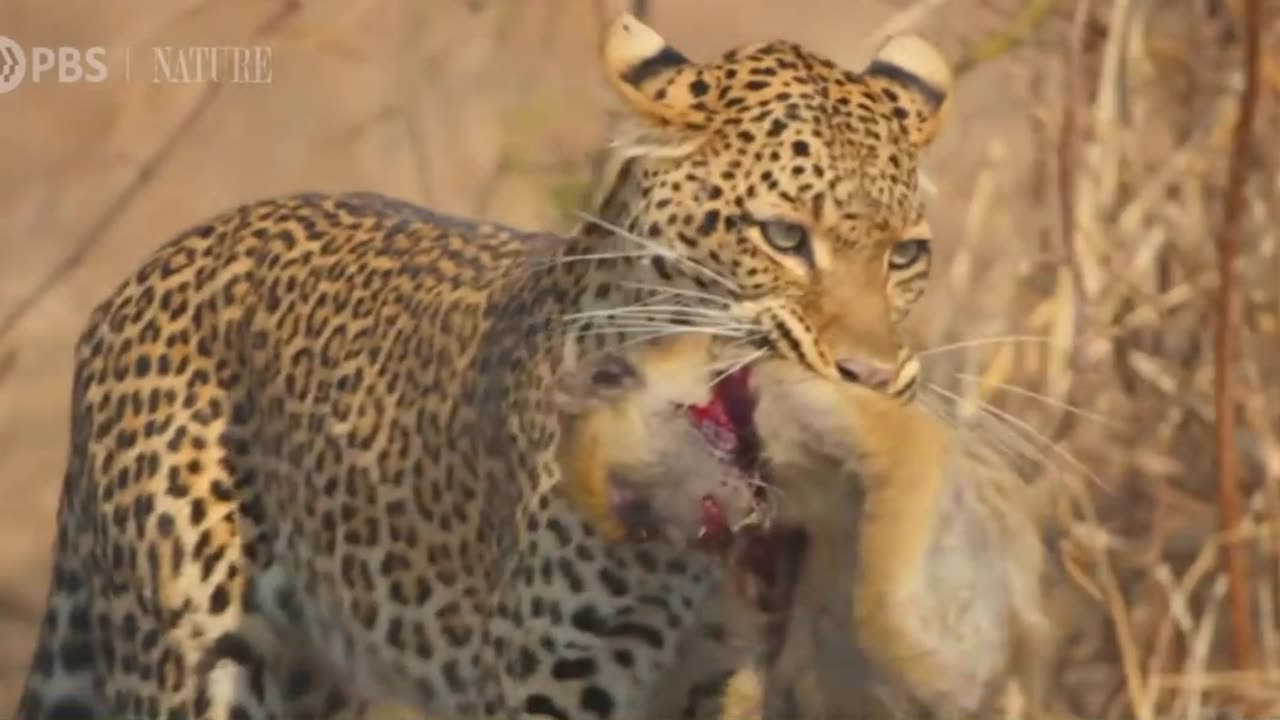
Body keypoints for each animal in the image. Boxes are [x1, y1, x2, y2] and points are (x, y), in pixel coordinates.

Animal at [10, 12, 952, 717]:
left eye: (907, 255)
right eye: (784, 238)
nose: (874, 378)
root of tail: (137, 280)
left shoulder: (709, 676)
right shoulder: (554, 678)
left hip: (312, 671)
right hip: (190, 649)